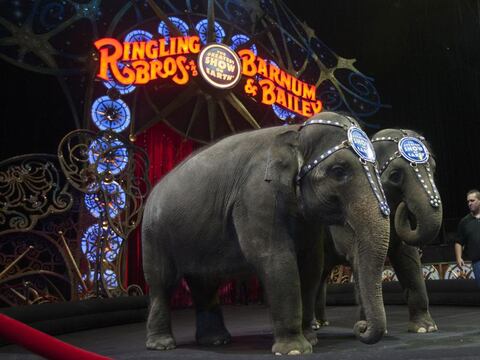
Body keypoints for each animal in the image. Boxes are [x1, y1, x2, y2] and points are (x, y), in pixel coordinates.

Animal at [142, 112, 390, 354]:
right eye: (339, 171)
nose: (361, 327)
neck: (296, 132)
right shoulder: (257, 195)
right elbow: (276, 259)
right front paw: (294, 350)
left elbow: (311, 265)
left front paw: (311, 339)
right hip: (154, 235)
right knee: (162, 283)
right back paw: (162, 344)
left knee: (205, 284)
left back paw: (216, 341)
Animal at [316, 128, 442, 334]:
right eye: (396, 175)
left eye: (433, 168)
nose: (405, 206)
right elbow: (357, 258)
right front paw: (367, 327)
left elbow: (409, 259)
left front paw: (425, 329)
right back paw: (315, 324)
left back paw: (321, 323)